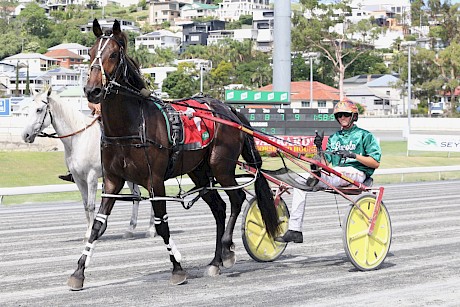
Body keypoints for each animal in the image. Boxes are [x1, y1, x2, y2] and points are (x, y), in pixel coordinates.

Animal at [21, 86, 155, 241]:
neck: (78, 138)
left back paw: (151, 229)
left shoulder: (91, 177)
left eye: (39, 110)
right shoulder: (78, 178)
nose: (25, 135)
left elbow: (91, 206)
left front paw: (91, 232)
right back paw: (130, 230)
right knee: (137, 196)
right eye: (28, 109)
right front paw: (89, 231)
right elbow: (85, 205)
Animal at [66, 18, 278, 290]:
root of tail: (228, 109)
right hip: (200, 171)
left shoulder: (155, 182)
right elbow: (97, 226)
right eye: (91, 53)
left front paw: (177, 268)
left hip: (221, 166)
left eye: (113, 54)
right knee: (219, 207)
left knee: (237, 198)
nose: (92, 90)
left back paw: (227, 250)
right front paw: (78, 273)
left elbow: (162, 225)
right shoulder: (112, 181)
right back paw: (215, 262)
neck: (130, 125)